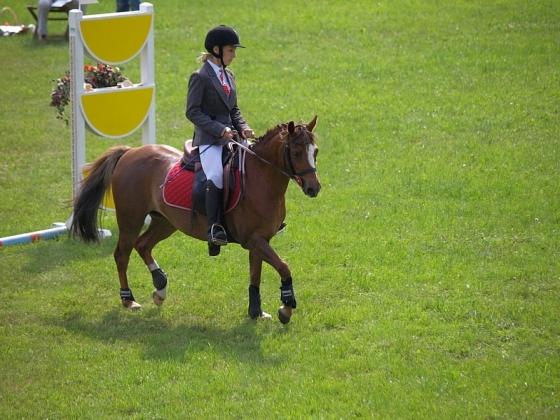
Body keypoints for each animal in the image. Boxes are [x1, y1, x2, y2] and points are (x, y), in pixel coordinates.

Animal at [69, 116, 322, 324]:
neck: (261, 178)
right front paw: (286, 308)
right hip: (131, 220)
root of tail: (130, 152)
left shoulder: (260, 240)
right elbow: (284, 267)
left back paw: (160, 289)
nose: (314, 188)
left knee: (143, 245)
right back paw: (129, 300)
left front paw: (256, 312)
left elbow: (256, 274)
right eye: (296, 153)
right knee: (122, 254)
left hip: (165, 222)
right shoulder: (253, 240)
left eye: (316, 151)